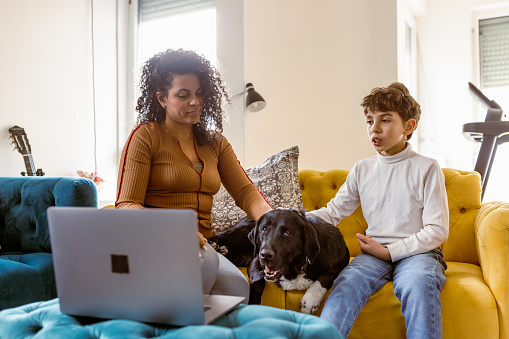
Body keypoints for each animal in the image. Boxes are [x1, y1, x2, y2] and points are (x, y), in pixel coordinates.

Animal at [207, 210, 350, 316]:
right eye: (264, 229)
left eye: (287, 232)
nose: (265, 255)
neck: (297, 268)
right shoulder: (256, 261)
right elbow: (258, 283)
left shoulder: (339, 265)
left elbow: (325, 278)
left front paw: (310, 300)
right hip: (240, 234)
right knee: (218, 236)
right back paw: (214, 245)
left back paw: (222, 250)